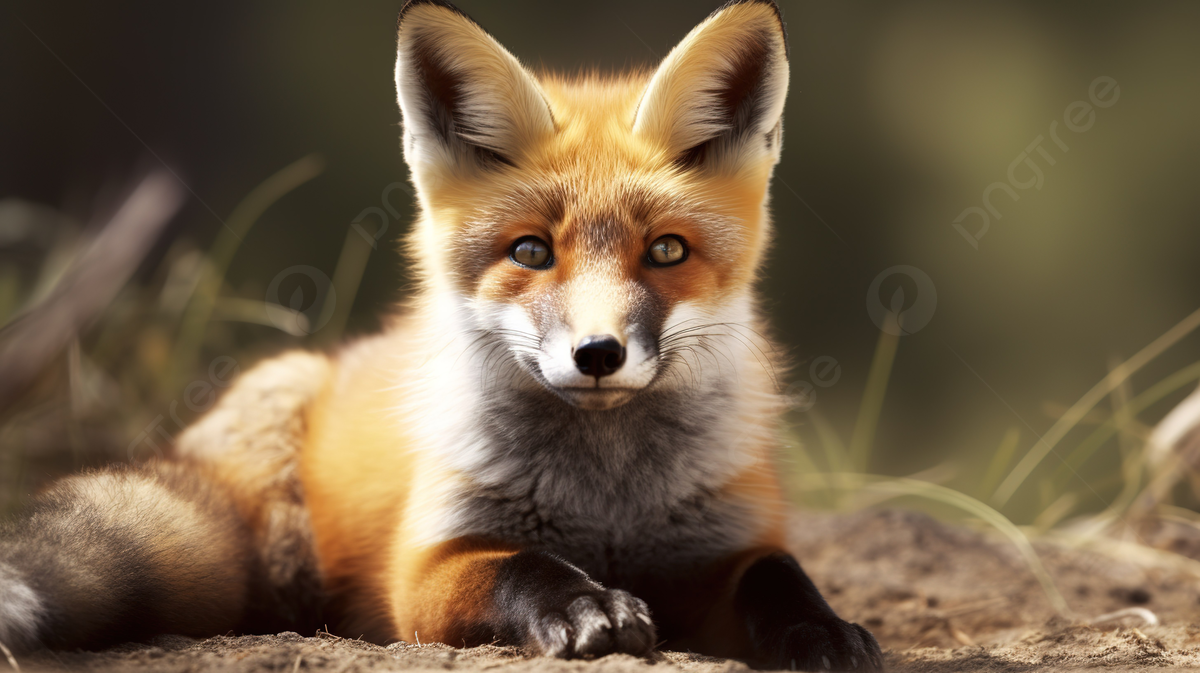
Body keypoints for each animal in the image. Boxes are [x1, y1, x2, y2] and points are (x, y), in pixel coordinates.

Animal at [0, 0, 882, 670]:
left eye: (666, 251)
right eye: (531, 251)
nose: (598, 354)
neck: (606, 507)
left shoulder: (722, 550)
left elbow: (778, 574)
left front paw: (823, 628)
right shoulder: (424, 569)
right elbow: (520, 566)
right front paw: (586, 605)